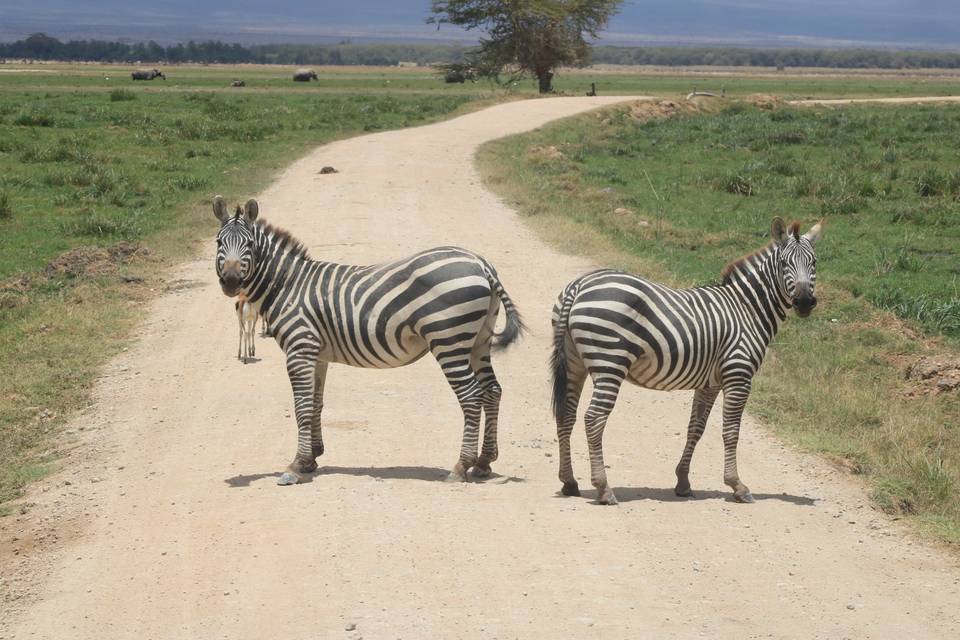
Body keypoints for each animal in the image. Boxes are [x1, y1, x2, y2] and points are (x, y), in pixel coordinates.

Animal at [212, 195, 524, 484]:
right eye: (218, 243)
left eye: (249, 245)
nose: (230, 281)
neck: (287, 285)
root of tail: (481, 263)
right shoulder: (318, 354)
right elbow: (315, 403)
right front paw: (311, 458)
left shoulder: (300, 348)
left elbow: (301, 406)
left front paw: (295, 466)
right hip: (478, 340)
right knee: (492, 390)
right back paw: (484, 462)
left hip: (449, 340)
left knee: (471, 395)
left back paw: (461, 466)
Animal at [552, 219, 820, 504]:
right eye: (784, 263)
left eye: (814, 262)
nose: (805, 302)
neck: (747, 309)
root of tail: (579, 285)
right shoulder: (738, 374)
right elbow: (731, 431)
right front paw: (737, 485)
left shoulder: (710, 382)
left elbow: (696, 428)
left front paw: (682, 482)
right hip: (610, 363)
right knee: (593, 418)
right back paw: (604, 488)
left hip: (574, 364)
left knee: (566, 414)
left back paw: (569, 482)